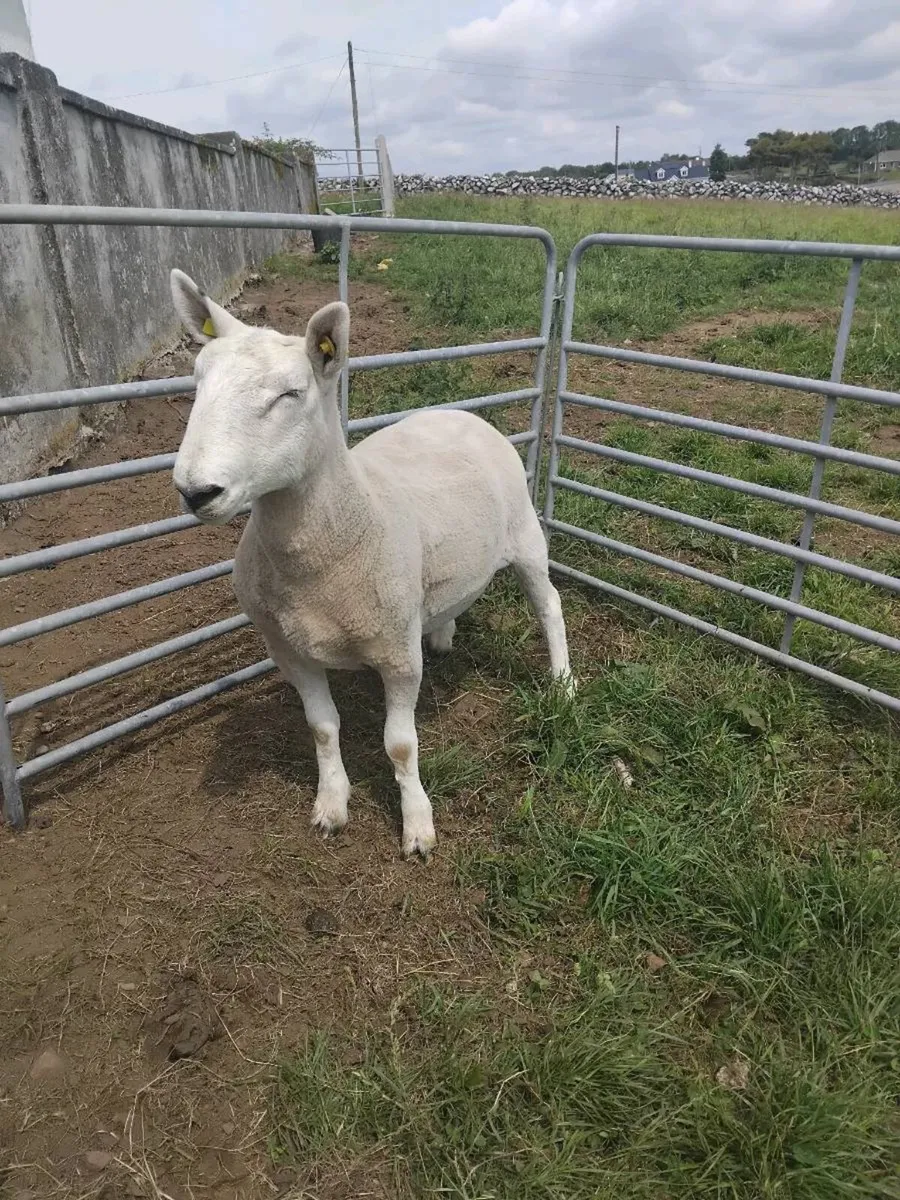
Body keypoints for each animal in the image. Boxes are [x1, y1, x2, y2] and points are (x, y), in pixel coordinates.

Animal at [170, 269, 572, 857]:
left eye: (291, 394)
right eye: (197, 381)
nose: (196, 491)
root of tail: (455, 411)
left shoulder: (397, 654)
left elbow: (400, 745)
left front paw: (417, 825)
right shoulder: (288, 650)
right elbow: (322, 728)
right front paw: (332, 804)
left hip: (525, 538)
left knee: (550, 606)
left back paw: (563, 681)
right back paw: (444, 632)